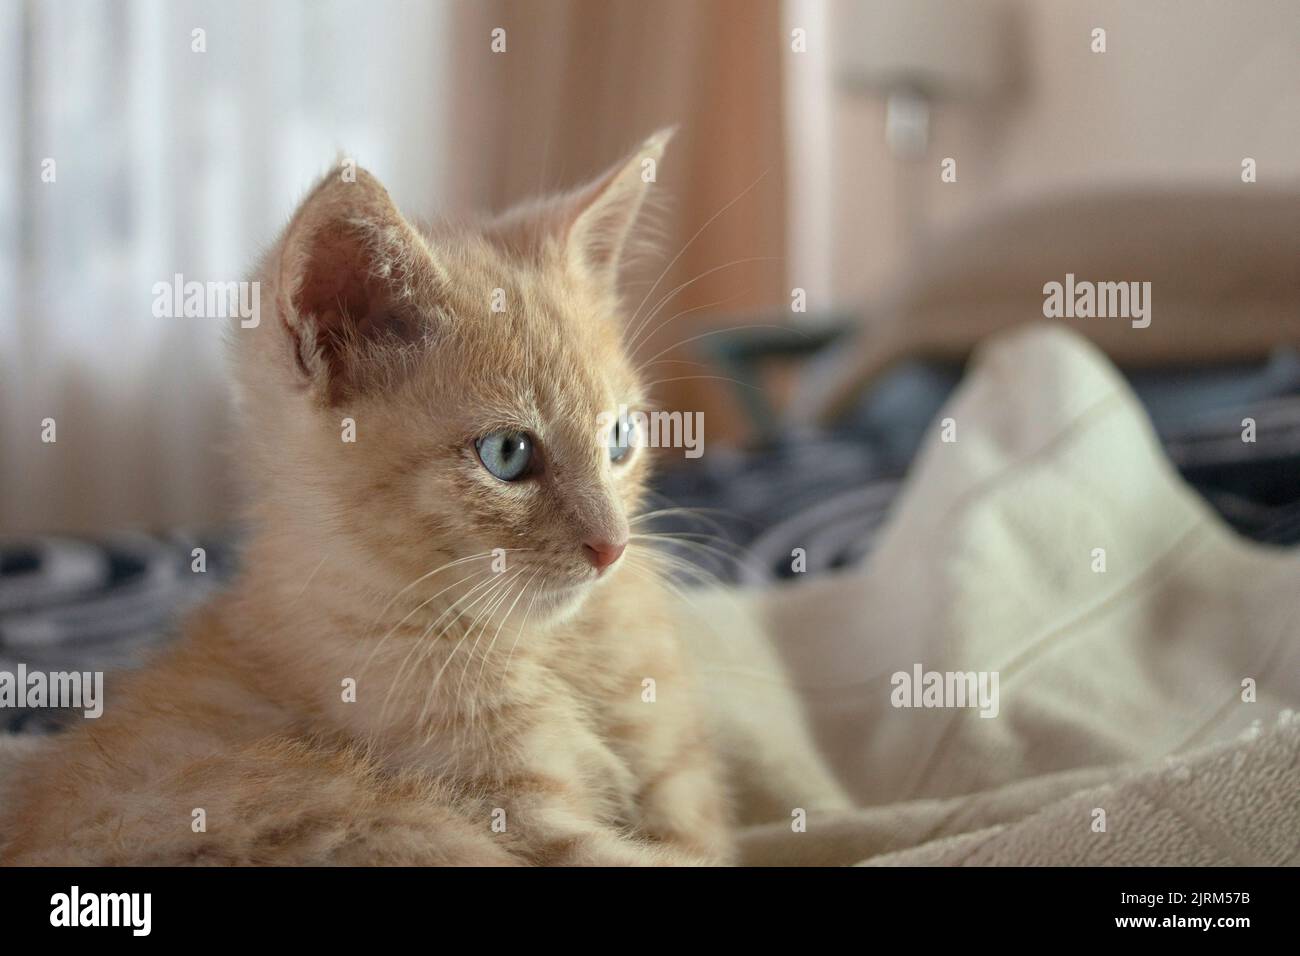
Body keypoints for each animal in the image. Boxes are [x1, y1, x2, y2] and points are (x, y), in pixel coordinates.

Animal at [0, 130, 738, 868]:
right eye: (506, 453)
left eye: (619, 438)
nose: (612, 548)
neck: (550, 647)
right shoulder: (525, 823)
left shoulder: (678, 781)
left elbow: (699, 835)